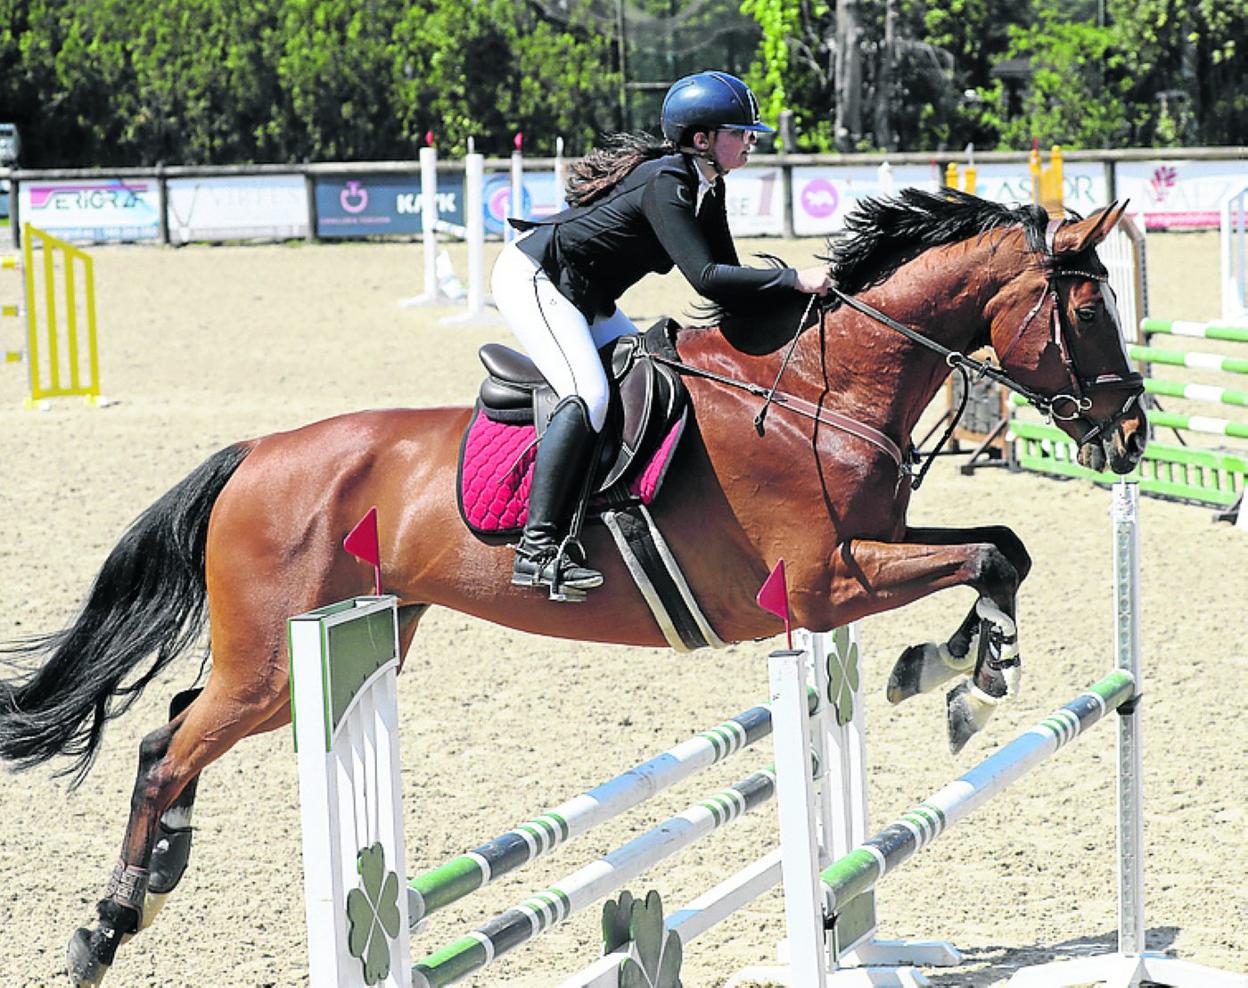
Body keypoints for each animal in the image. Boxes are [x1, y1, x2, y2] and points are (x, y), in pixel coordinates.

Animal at [0, 189, 1143, 983]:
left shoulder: (875, 548)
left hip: (320, 649)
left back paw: (156, 878)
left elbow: (1002, 545)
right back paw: (106, 926)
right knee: (167, 748)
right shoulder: (824, 585)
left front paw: (956, 667)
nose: (1132, 432)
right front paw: (966, 678)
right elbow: (988, 558)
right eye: (1088, 308)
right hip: (285, 658)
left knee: (170, 727)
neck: (819, 390)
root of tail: (255, 455)